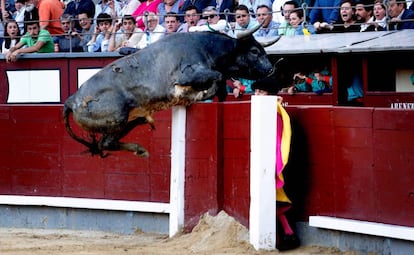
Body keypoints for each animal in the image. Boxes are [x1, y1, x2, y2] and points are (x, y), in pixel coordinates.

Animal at [63, 28, 280, 156]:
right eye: (254, 51)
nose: (271, 69)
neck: (207, 48)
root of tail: (71, 100)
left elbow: (221, 86)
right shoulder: (187, 75)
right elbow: (217, 77)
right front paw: (198, 95)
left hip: (126, 121)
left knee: (106, 143)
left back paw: (141, 147)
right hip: (118, 118)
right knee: (106, 142)